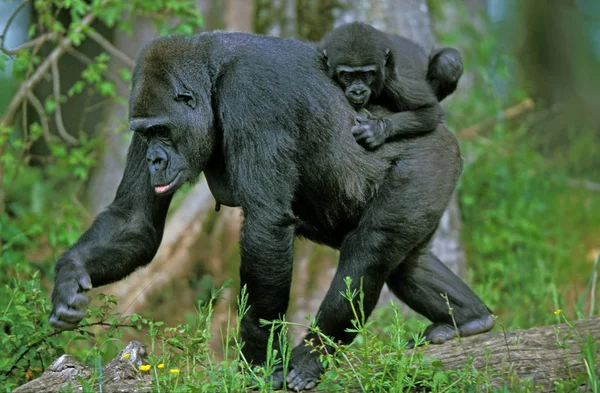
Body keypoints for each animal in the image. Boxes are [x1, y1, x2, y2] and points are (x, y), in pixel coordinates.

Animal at [318, 22, 464, 149]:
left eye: (366, 75)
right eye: (348, 76)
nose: (358, 91)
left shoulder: (392, 80)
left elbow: (430, 110)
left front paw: (378, 129)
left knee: (448, 62)